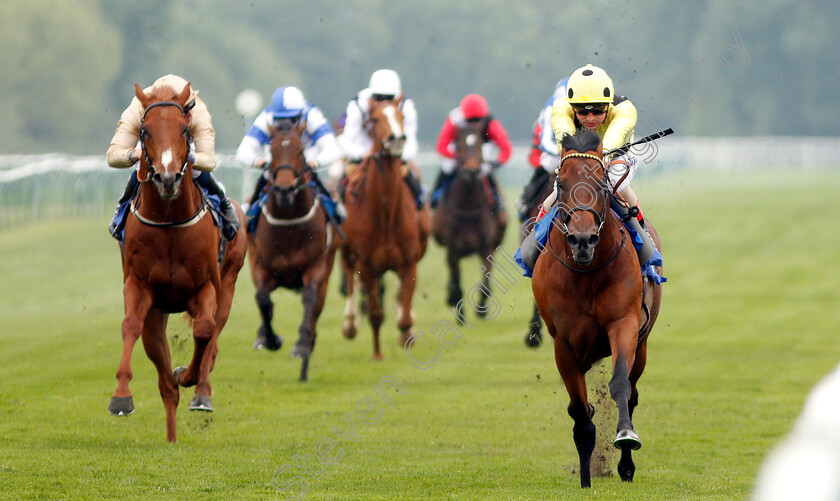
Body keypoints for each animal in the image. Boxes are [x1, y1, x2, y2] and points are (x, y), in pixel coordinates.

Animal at [107, 82, 249, 442]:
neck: (170, 221)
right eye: (144, 131)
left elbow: (204, 330)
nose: (167, 178)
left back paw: (200, 393)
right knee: (165, 385)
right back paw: (171, 436)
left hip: (229, 283)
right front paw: (121, 398)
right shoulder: (139, 286)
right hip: (157, 313)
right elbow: (130, 325)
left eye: (185, 130)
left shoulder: (205, 286)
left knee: (213, 338)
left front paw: (187, 373)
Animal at [248, 123, 336, 380]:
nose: (284, 189)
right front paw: (271, 339)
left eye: (301, 152)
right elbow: (262, 299)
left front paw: (301, 346)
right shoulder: (262, 267)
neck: (288, 225)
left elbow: (309, 299)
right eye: (272, 151)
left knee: (317, 307)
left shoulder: (315, 267)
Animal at [338, 97, 430, 358]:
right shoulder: (366, 265)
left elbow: (405, 316)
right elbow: (375, 314)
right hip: (346, 251)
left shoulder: (409, 262)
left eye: (401, 116)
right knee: (349, 279)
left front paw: (407, 336)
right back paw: (350, 323)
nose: (396, 138)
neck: (387, 217)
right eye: (375, 119)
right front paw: (377, 355)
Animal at [434, 119, 506, 318]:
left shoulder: (486, 248)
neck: (468, 207)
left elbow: (486, 283)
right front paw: (459, 310)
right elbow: (456, 283)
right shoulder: (453, 250)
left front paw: (481, 308)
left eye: (481, 143)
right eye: (459, 144)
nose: (472, 171)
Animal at [532, 127, 664, 486]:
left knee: (632, 392)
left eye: (602, 183)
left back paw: (626, 465)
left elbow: (619, 385)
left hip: (642, 345)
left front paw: (626, 439)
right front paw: (586, 479)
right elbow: (580, 413)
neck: (587, 274)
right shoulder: (564, 344)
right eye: (562, 184)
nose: (582, 240)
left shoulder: (624, 324)